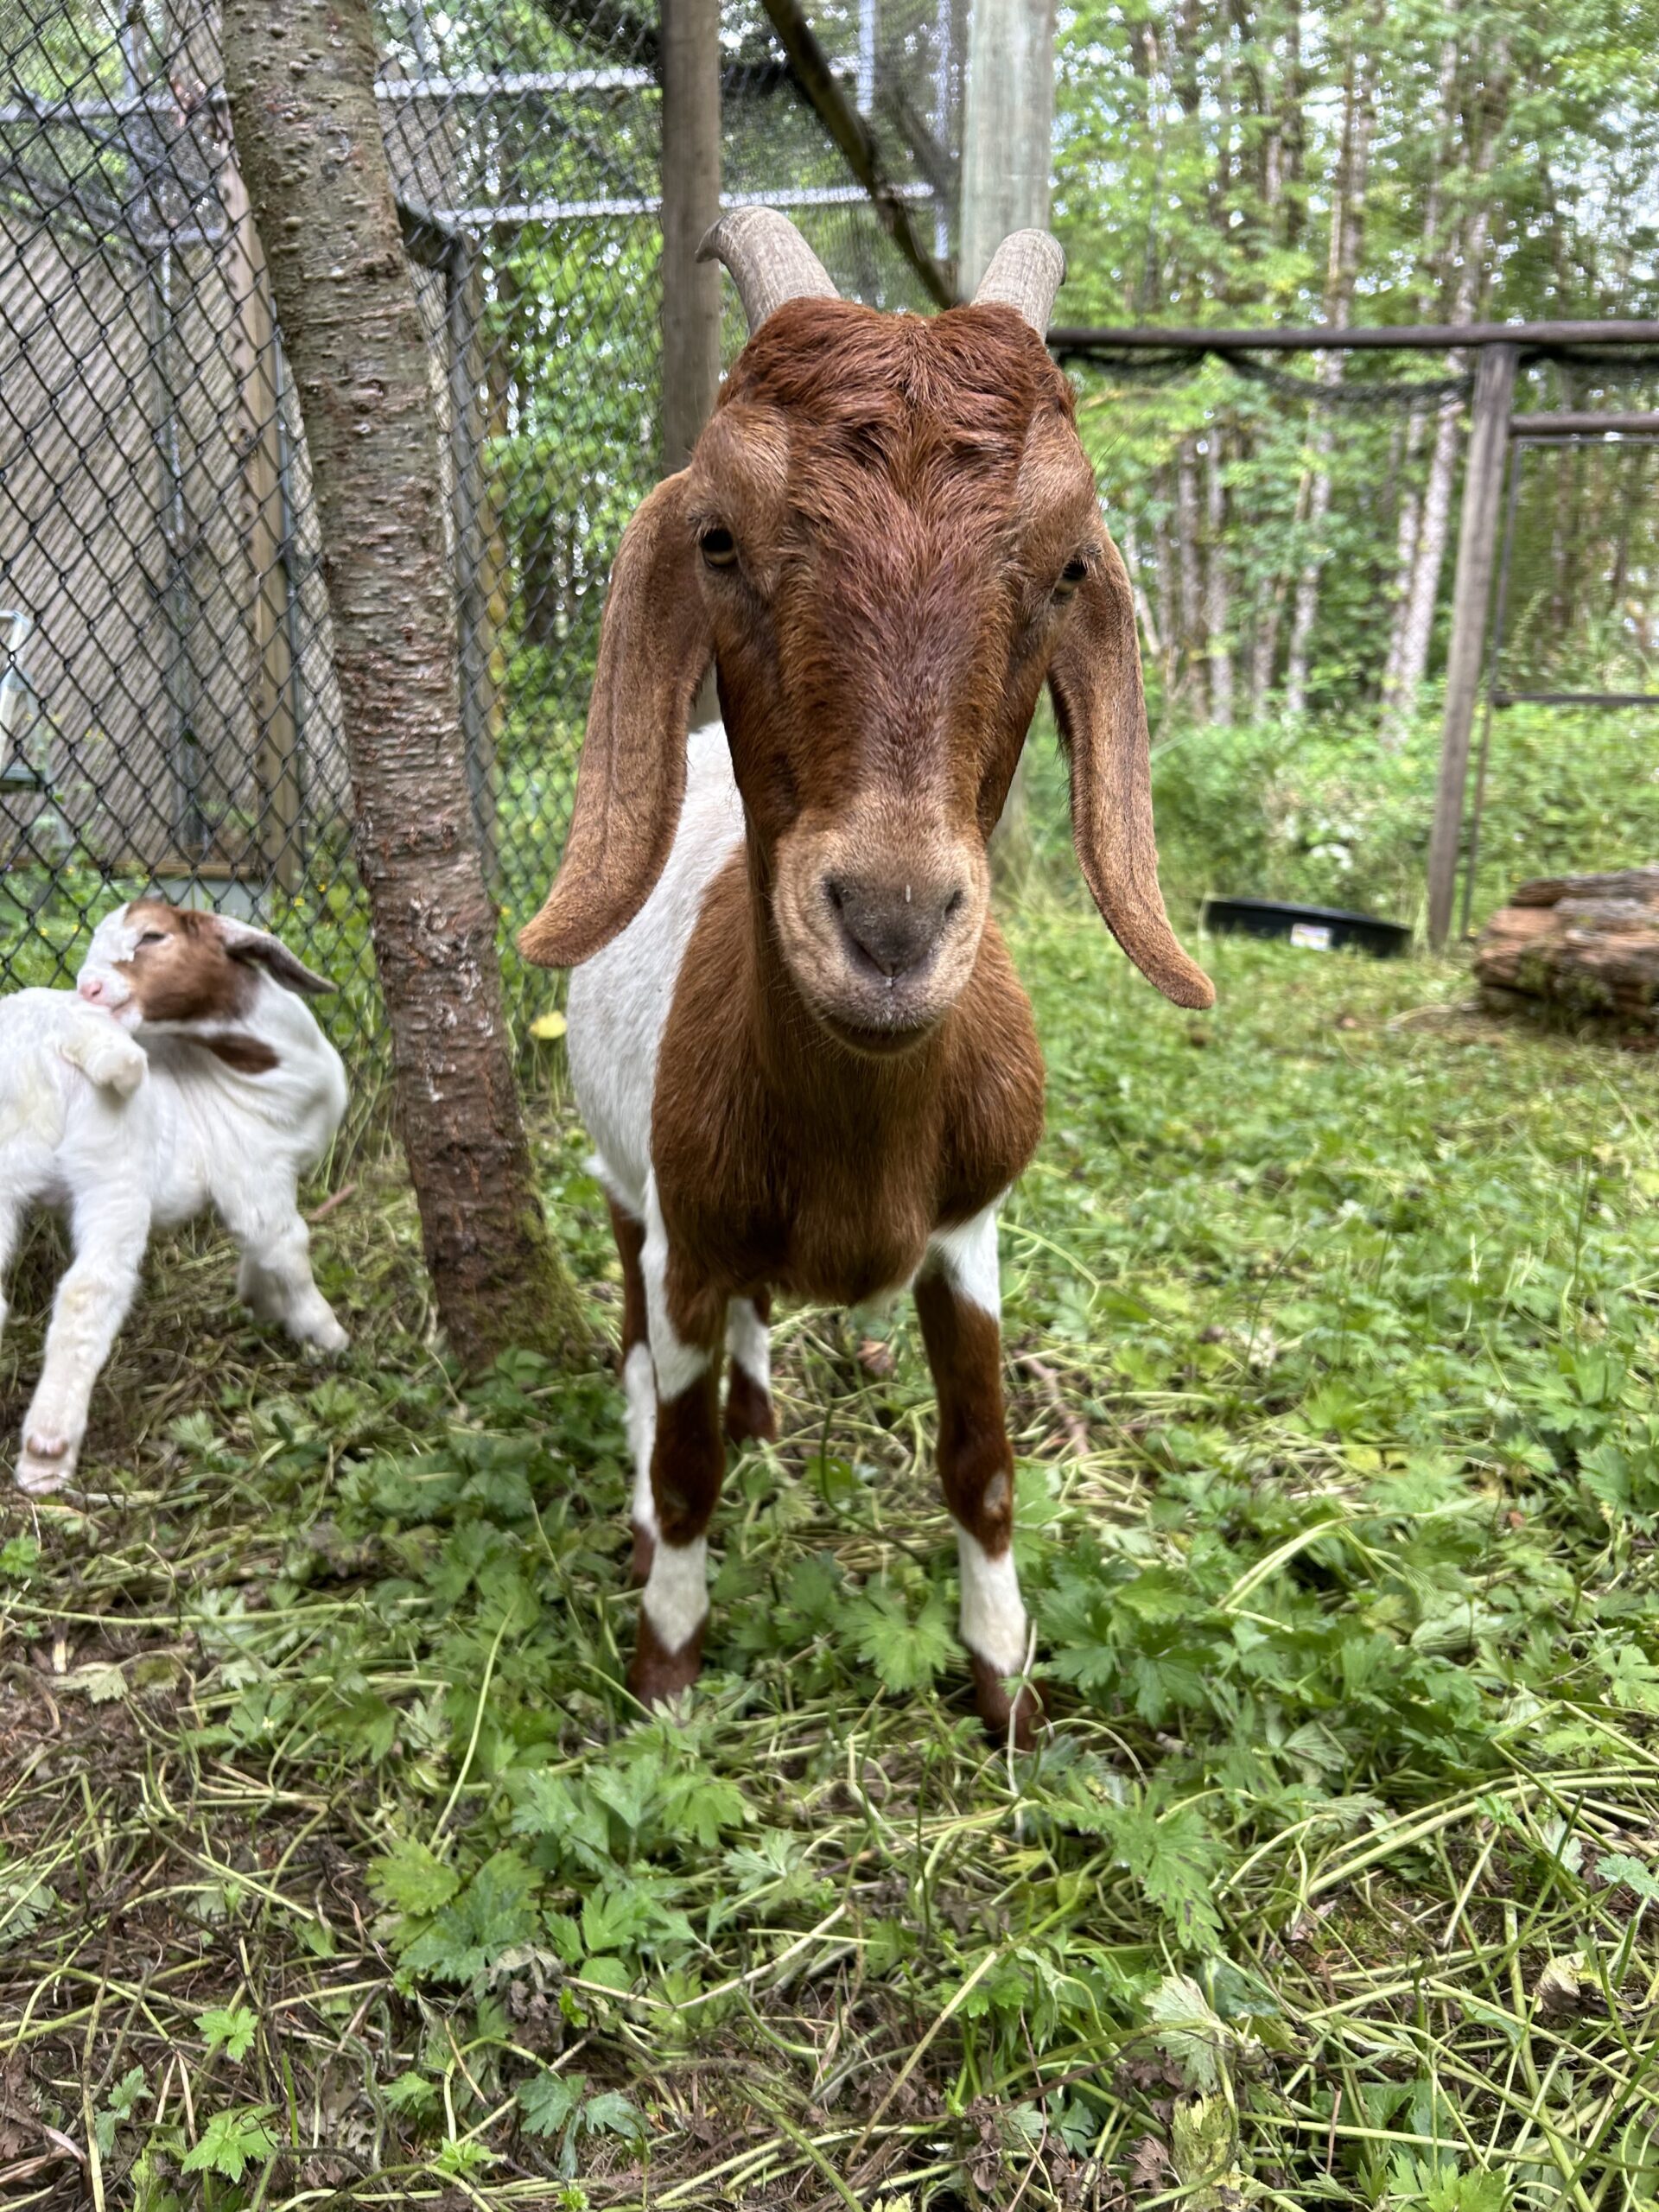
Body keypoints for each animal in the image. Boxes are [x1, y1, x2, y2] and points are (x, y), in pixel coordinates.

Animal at [0, 901, 348, 1494]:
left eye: (153, 936)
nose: (89, 988)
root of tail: (61, 1037)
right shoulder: (255, 1172)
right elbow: (286, 1246)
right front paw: (325, 1334)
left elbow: (256, 1250)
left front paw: (257, 1299)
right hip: (114, 1170)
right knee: (90, 1291)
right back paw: (48, 1452)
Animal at [520, 213, 1213, 1743]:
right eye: (719, 537)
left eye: (1065, 566)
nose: (892, 925)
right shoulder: (685, 1231)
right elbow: (682, 1472)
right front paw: (667, 1673)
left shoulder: (971, 1234)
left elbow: (985, 1461)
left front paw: (1006, 1684)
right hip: (622, 1191)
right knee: (637, 1348)